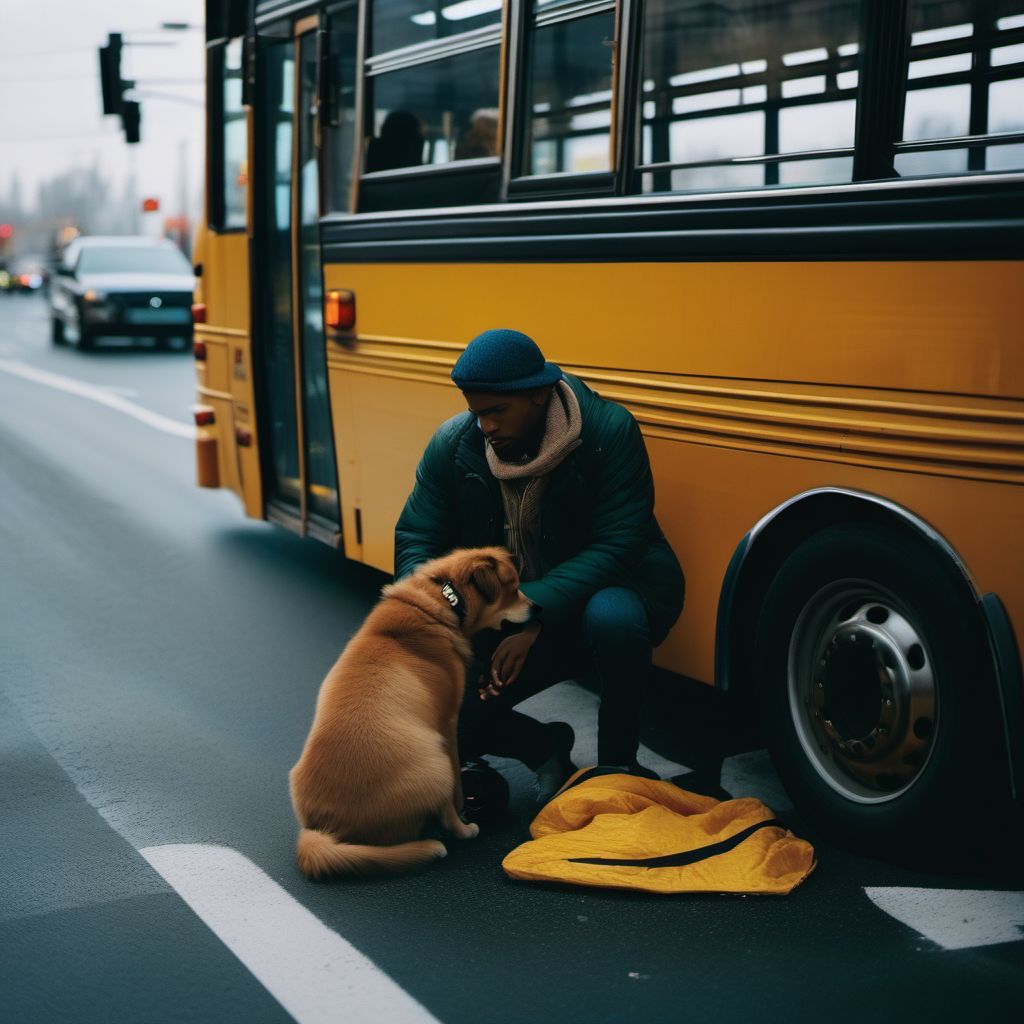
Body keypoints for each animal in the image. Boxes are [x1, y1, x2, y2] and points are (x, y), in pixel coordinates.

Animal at [286, 548, 528, 876]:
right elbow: (456, 788)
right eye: (513, 588)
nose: (537, 608)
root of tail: (320, 829)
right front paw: (463, 813)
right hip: (436, 765)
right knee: (442, 807)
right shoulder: (448, 723)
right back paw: (456, 832)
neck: (442, 599)